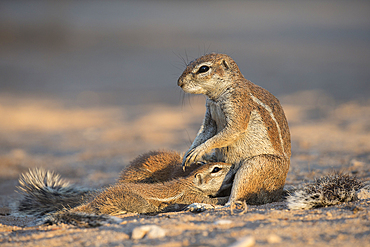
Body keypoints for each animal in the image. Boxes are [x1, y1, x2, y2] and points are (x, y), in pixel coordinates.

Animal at [178, 52, 290, 205]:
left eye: (203, 69)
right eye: (189, 63)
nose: (179, 82)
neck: (216, 97)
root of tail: (277, 194)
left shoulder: (239, 103)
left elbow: (233, 130)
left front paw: (198, 150)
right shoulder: (209, 116)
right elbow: (204, 132)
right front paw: (188, 154)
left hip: (254, 166)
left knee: (235, 199)